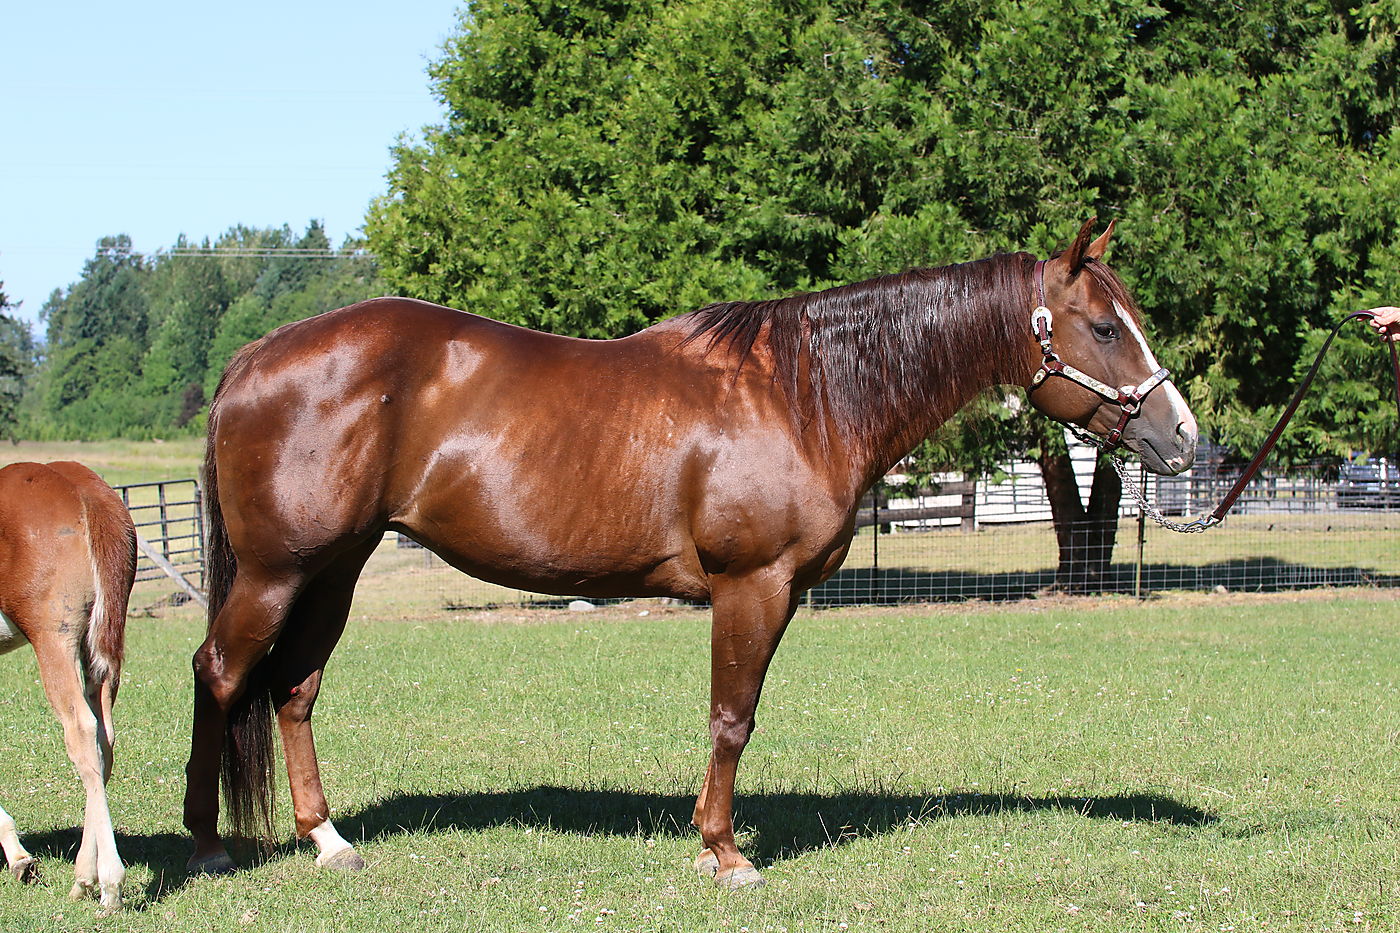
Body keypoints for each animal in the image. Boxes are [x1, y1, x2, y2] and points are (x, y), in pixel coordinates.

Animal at [0, 461, 136, 911]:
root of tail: (85, 492)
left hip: (53, 640)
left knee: (81, 732)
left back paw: (106, 882)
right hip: (99, 646)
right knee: (105, 738)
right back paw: (85, 877)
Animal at [183, 219, 1197, 888]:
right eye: (1105, 327)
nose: (1185, 438)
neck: (806, 394)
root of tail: (251, 361)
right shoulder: (753, 586)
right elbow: (731, 719)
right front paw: (725, 852)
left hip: (335, 568)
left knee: (293, 688)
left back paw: (327, 839)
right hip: (279, 572)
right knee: (221, 672)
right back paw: (206, 843)